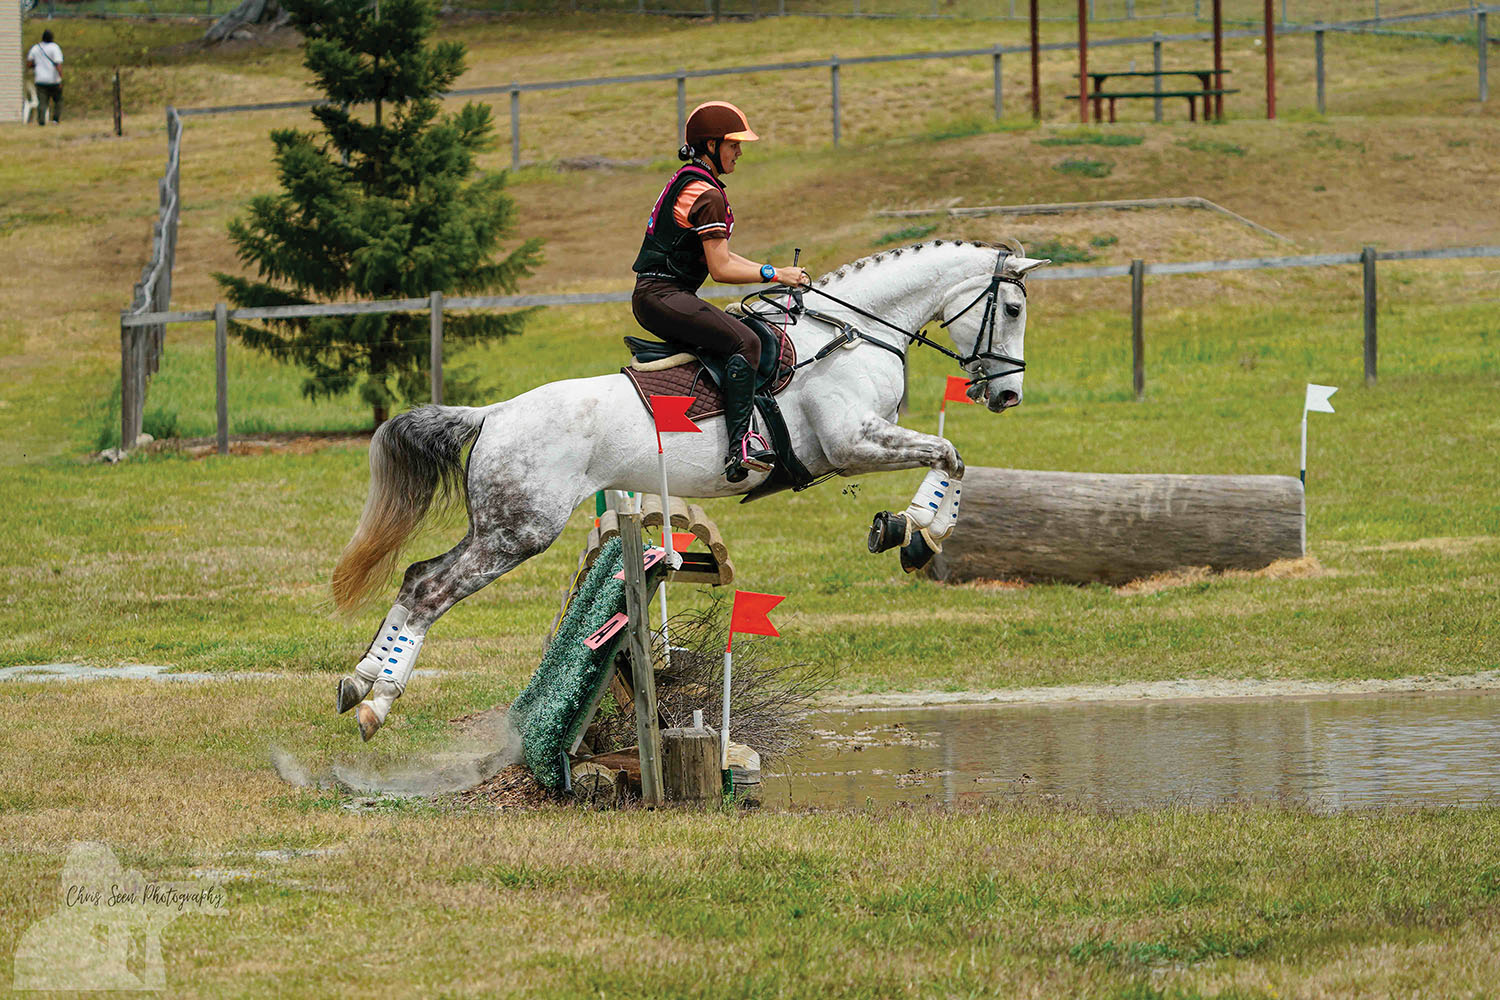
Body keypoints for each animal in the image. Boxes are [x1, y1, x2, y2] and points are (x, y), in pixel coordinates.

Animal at [331, 239, 1049, 740]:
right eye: (1012, 309)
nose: (1009, 395)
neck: (854, 334)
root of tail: (493, 413)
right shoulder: (851, 444)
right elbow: (950, 456)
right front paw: (916, 534)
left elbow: (954, 457)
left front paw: (906, 530)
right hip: (519, 531)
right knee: (430, 589)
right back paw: (377, 703)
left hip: (500, 527)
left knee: (416, 576)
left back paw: (359, 683)